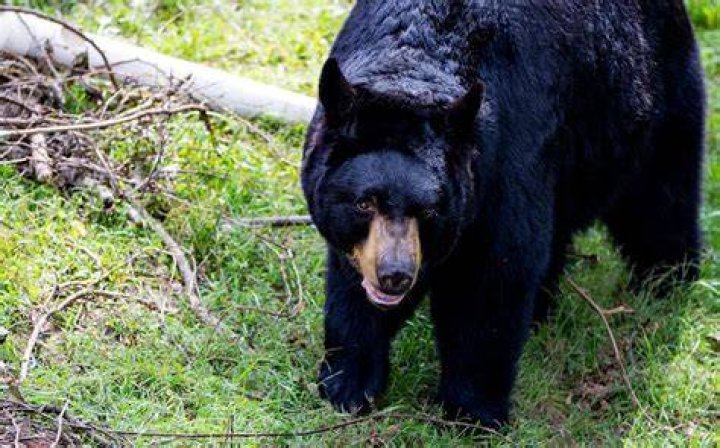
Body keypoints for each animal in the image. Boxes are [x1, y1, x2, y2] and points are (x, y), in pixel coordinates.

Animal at [301, 0, 705, 428]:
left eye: (428, 209)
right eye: (365, 203)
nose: (396, 275)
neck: (415, 64)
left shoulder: (507, 159)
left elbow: (494, 277)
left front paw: (472, 411)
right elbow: (350, 287)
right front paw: (345, 384)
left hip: (652, 107)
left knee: (660, 203)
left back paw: (666, 281)